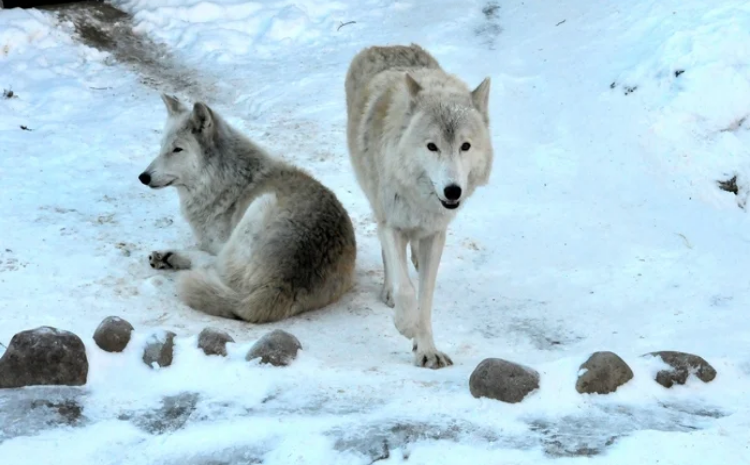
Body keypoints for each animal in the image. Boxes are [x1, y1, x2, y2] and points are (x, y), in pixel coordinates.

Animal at [140, 94, 358, 322]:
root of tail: (279, 285)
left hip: (259, 206)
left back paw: (170, 257)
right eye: (162, 146)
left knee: (213, 265)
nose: (143, 177)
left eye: (177, 149)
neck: (223, 178)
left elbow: (205, 253)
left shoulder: (216, 242)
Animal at [346, 44, 494, 370]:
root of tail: (387, 46)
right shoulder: (392, 224)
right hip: (376, 202)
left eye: (465, 146)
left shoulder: (435, 235)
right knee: (390, 260)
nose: (453, 190)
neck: (421, 200)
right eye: (432, 146)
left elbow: (425, 298)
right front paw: (405, 324)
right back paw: (389, 292)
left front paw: (426, 350)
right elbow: (406, 289)